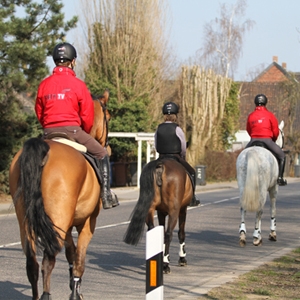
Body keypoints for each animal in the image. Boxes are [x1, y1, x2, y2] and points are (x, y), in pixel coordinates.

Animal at [9, 89, 111, 300]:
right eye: (108, 116)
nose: (108, 146)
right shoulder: (87, 223)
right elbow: (79, 259)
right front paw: (75, 293)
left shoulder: (67, 226)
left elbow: (71, 254)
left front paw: (74, 287)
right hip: (58, 219)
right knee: (47, 262)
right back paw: (46, 295)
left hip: (28, 222)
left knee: (32, 263)